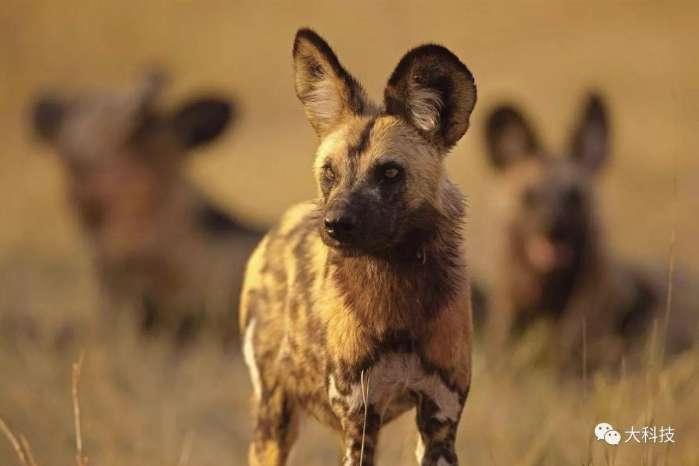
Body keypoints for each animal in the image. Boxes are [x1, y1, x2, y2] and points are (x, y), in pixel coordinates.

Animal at [239, 29, 476, 466]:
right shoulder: (360, 416)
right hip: (274, 421)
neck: (397, 298)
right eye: (329, 173)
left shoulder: (441, 416)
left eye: (390, 173)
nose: (333, 224)